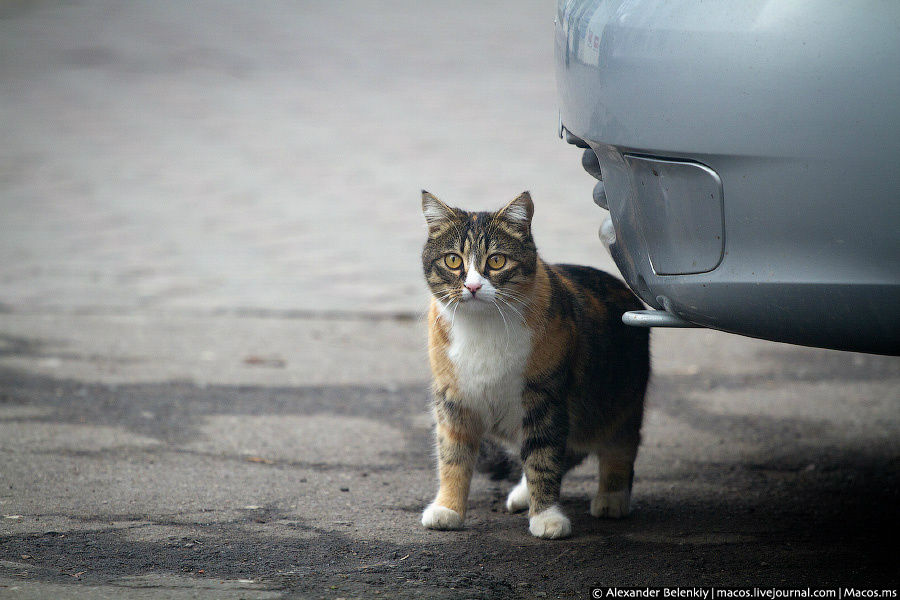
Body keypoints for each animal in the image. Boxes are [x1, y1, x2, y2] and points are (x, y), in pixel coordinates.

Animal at [418, 191, 652, 540]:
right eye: (453, 261)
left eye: (496, 261)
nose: (472, 287)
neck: (482, 326)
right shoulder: (452, 400)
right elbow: (453, 456)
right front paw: (448, 508)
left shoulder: (546, 397)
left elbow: (544, 457)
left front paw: (546, 516)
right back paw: (522, 492)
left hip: (620, 399)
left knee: (619, 444)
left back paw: (612, 497)